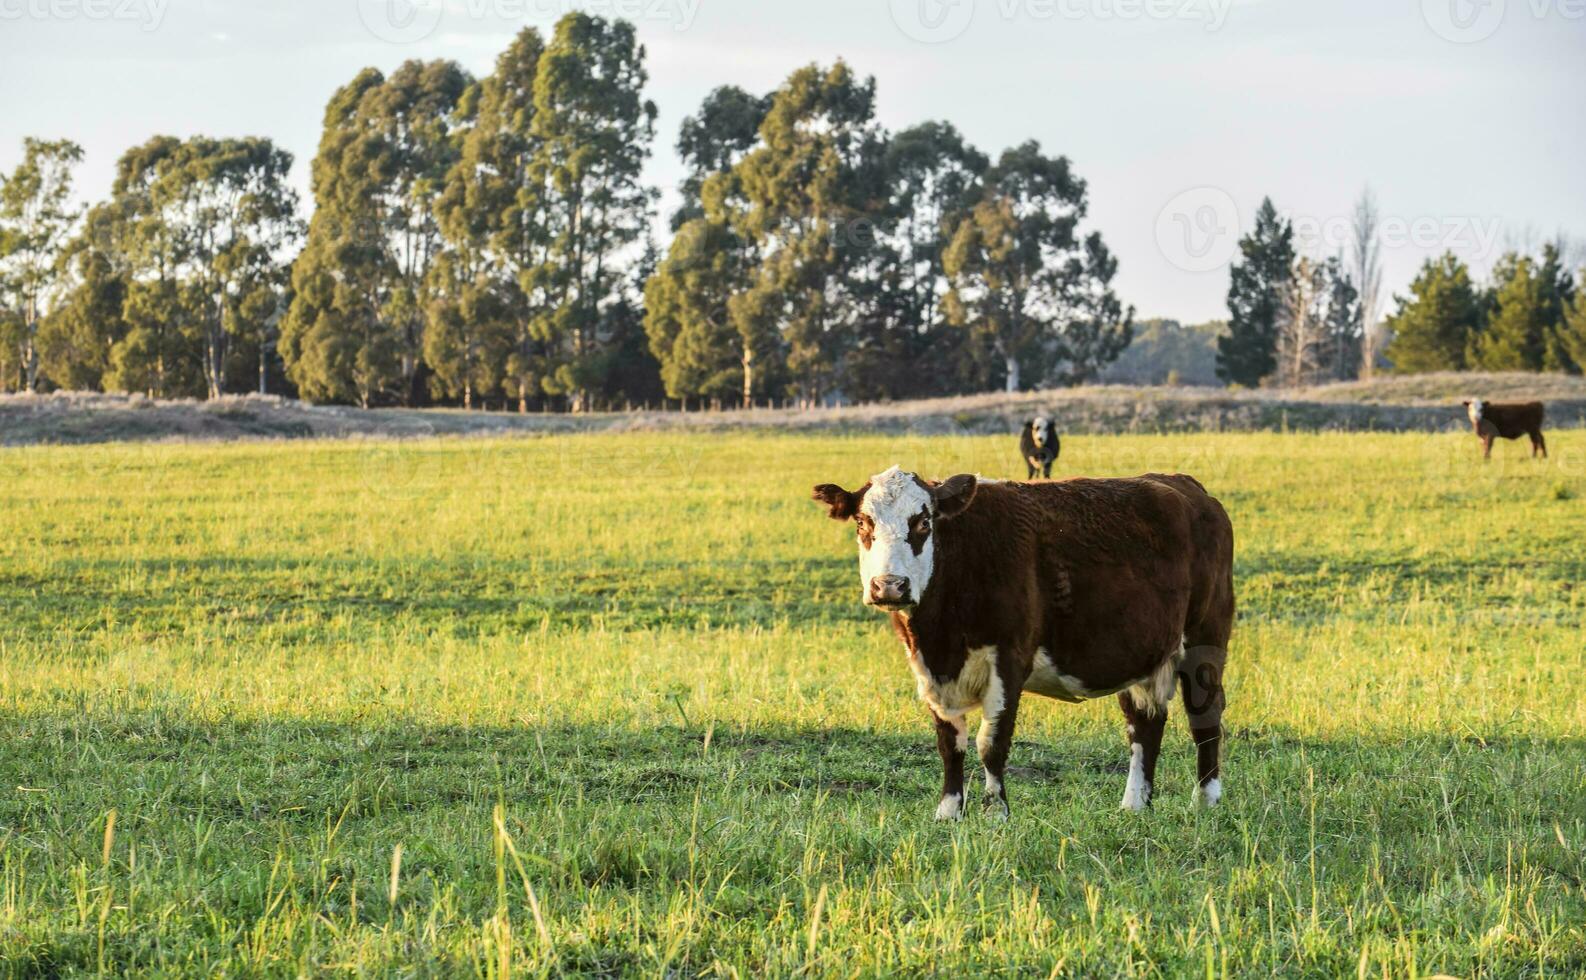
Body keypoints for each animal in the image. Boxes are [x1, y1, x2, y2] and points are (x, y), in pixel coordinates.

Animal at [812, 466, 1230, 818]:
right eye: (862, 522)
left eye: (923, 522)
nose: (889, 586)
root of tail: (1185, 485)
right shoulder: (928, 669)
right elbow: (950, 742)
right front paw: (949, 812)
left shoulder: (1008, 660)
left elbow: (991, 742)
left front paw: (996, 812)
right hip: (1143, 656)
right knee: (1144, 725)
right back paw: (1134, 805)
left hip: (1204, 642)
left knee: (1205, 718)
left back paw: (1205, 800)